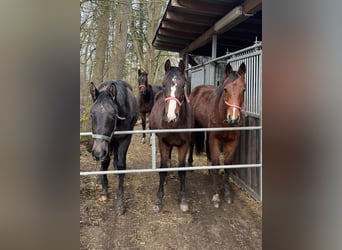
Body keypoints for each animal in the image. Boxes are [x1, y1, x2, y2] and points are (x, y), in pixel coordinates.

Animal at [90, 80, 140, 215]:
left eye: (113, 115)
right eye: (92, 115)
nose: (97, 153)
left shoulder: (125, 139)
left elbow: (122, 165)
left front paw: (120, 203)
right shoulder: (108, 143)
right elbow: (105, 162)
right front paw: (104, 190)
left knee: (117, 155)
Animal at [149, 59, 194, 213]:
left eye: (183, 85)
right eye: (163, 84)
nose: (171, 117)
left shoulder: (184, 145)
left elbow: (182, 170)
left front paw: (183, 199)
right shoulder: (163, 142)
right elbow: (162, 168)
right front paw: (158, 198)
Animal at [190, 62, 246, 209]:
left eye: (243, 90)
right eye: (225, 89)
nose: (233, 118)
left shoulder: (232, 141)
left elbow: (227, 165)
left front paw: (227, 194)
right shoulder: (215, 139)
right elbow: (216, 163)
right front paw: (216, 196)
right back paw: (190, 164)